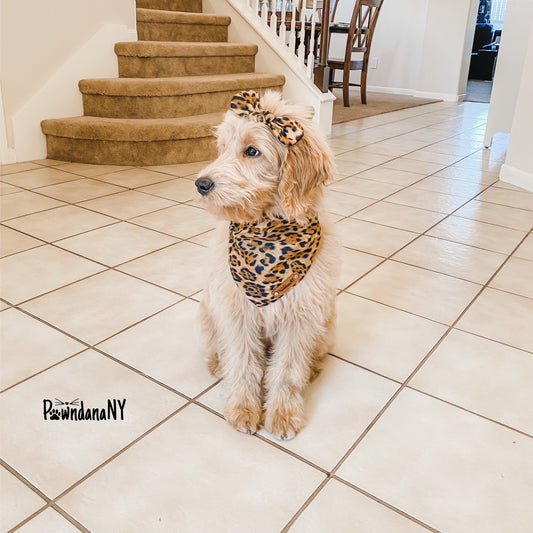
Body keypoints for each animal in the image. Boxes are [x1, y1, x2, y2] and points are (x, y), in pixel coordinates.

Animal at [194, 90, 336, 440]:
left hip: (326, 319)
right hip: (208, 309)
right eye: (222, 148)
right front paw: (243, 409)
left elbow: (286, 371)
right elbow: (243, 363)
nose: (201, 184)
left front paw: (283, 415)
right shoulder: (237, 313)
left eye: (252, 151)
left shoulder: (300, 319)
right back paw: (218, 364)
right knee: (219, 349)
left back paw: (313, 369)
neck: (267, 230)